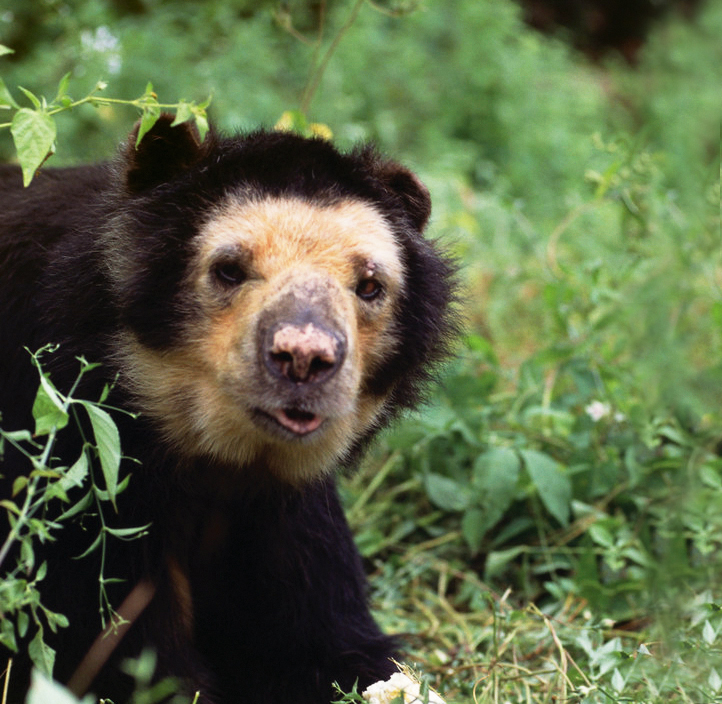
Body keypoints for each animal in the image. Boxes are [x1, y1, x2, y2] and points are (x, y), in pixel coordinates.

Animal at [0, 115, 457, 704]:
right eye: (230, 270)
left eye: (370, 285)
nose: (304, 358)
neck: (218, 459)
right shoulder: (80, 472)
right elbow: (109, 643)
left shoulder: (285, 509)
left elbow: (326, 638)